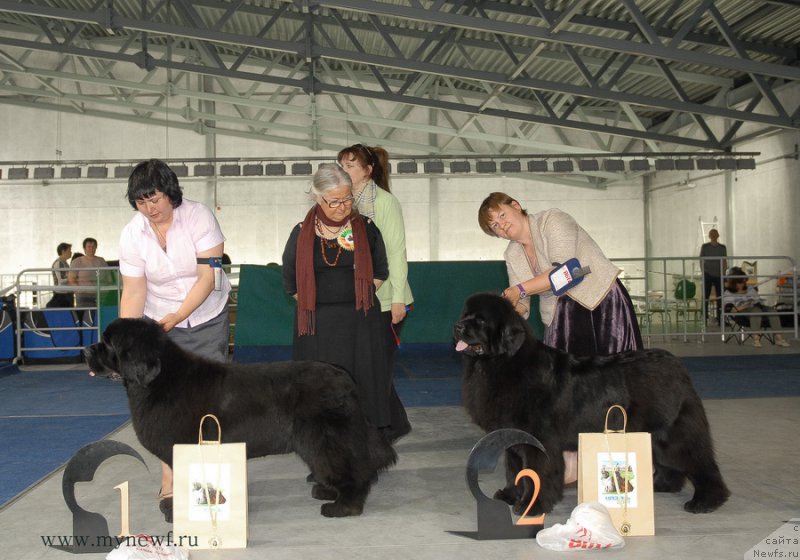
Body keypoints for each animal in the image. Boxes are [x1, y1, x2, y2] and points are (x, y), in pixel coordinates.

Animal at [86, 318, 398, 520]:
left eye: (108, 343)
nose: (87, 350)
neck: (159, 380)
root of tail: (342, 376)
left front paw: (177, 513)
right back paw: (328, 493)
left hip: (324, 437)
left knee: (352, 469)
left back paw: (344, 506)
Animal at [454, 294, 728, 516]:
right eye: (464, 315)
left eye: (480, 321)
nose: (457, 327)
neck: (500, 363)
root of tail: (676, 364)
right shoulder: (511, 437)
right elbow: (514, 470)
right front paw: (510, 496)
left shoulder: (538, 440)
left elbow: (535, 473)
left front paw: (531, 506)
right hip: (654, 433)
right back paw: (662, 485)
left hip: (672, 434)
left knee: (700, 462)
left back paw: (706, 501)